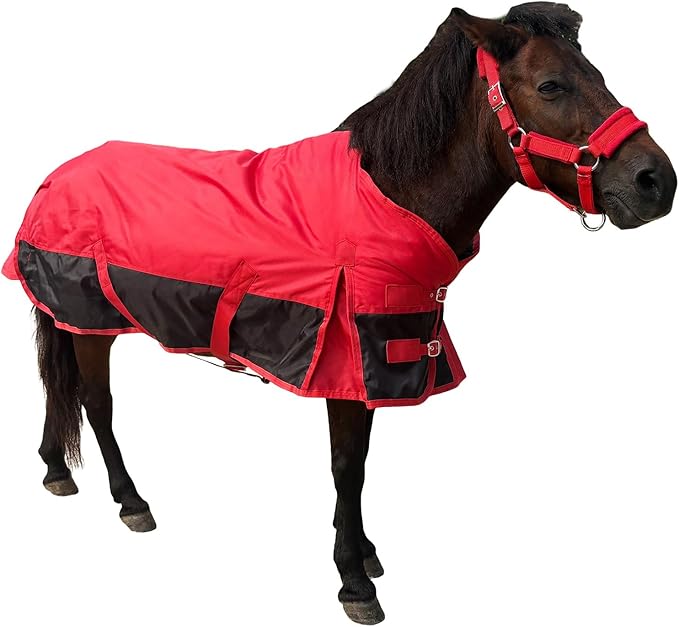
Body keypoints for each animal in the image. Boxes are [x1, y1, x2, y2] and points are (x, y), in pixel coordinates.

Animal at [2, 3, 675, 625]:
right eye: (551, 86)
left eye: (599, 75)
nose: (657, 181)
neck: (388, 196)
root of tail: (55, 178)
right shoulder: (348, 367)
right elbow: (348, 469)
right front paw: (354, 579)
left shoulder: (377, 363)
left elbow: (359, 466)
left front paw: (364, 553)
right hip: (92, 325)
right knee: (96, 403)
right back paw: (131, 501)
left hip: (70, 321)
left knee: (57, 388)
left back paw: (55, 469)